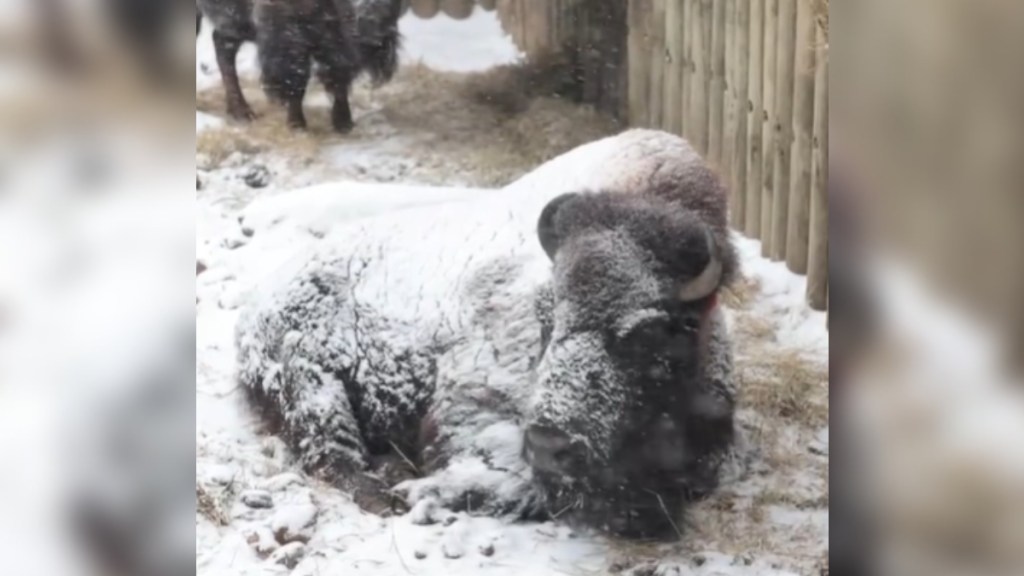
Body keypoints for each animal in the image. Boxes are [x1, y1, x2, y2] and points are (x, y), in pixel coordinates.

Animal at [195, 0, 403, 131]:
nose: (376, 36)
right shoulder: (287, 37)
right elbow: (297, 79)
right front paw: (297, 124)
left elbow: (337, 74)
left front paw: (344, 122)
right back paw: (242, 112)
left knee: (222, 44)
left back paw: (240, 111)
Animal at [235, 131, 749, 537]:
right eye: (548, 315)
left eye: (650, 331)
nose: (550, 444)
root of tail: (262, 303)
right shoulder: (473, 408)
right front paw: (418, 492)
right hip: (314, 381)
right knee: (334, 458)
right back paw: (388, 491)